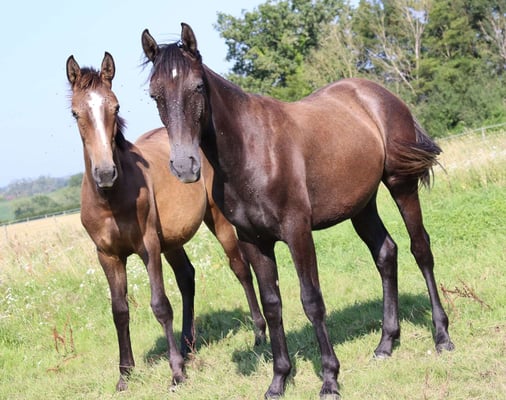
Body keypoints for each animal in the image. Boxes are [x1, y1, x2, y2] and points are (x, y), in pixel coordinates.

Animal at [66, 52, 265, 391]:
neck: (111, 198)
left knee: (240, 268)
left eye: (115, 107)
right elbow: (119, 310)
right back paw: (187, 345)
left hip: (217, 221)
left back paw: (258, 333)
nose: (105, 173)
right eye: (75, 112)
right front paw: (125, 375)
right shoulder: (107, 255)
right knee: (187, 276)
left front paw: (176, 373)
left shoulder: (148, 247)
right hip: (171, 241)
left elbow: (160, 305)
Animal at [141, 23, 455, 399]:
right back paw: (385, 344)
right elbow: (272, 304)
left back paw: (442, 337)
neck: (251, 150)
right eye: (155, 95)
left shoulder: (297, 231)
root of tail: (379, 95)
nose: (184, 165)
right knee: (386, 253)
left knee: (420, 249)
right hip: (362, 205)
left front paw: (330, 378)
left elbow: (311, 300)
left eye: (198, 86)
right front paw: (279, 379)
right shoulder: (253, 241)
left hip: (400, 185)